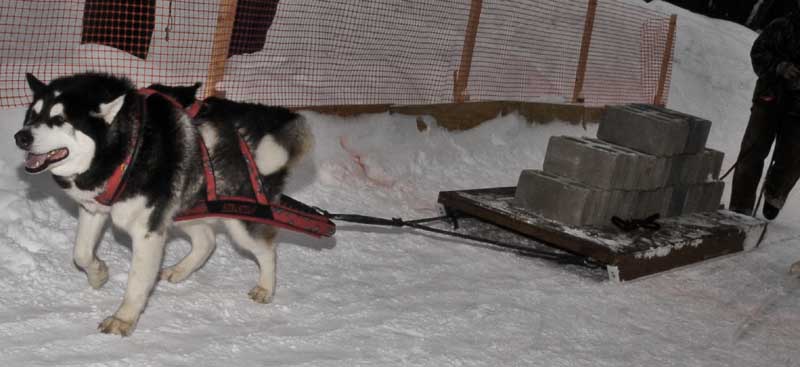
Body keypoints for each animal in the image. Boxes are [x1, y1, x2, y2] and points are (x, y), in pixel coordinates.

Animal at [14, 72, 312, 336]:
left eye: (59, 119)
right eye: (33, 116)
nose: (21, 136)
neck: (129, 147)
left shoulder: (148, 232)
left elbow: (136, 281)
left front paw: (123, 319)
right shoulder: (95, 209)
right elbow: (81, 253)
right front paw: (98, 273)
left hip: (240, 220)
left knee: (267, 250)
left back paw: (266, 287)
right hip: (186, 207)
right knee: (207, 241)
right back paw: (180, 271)